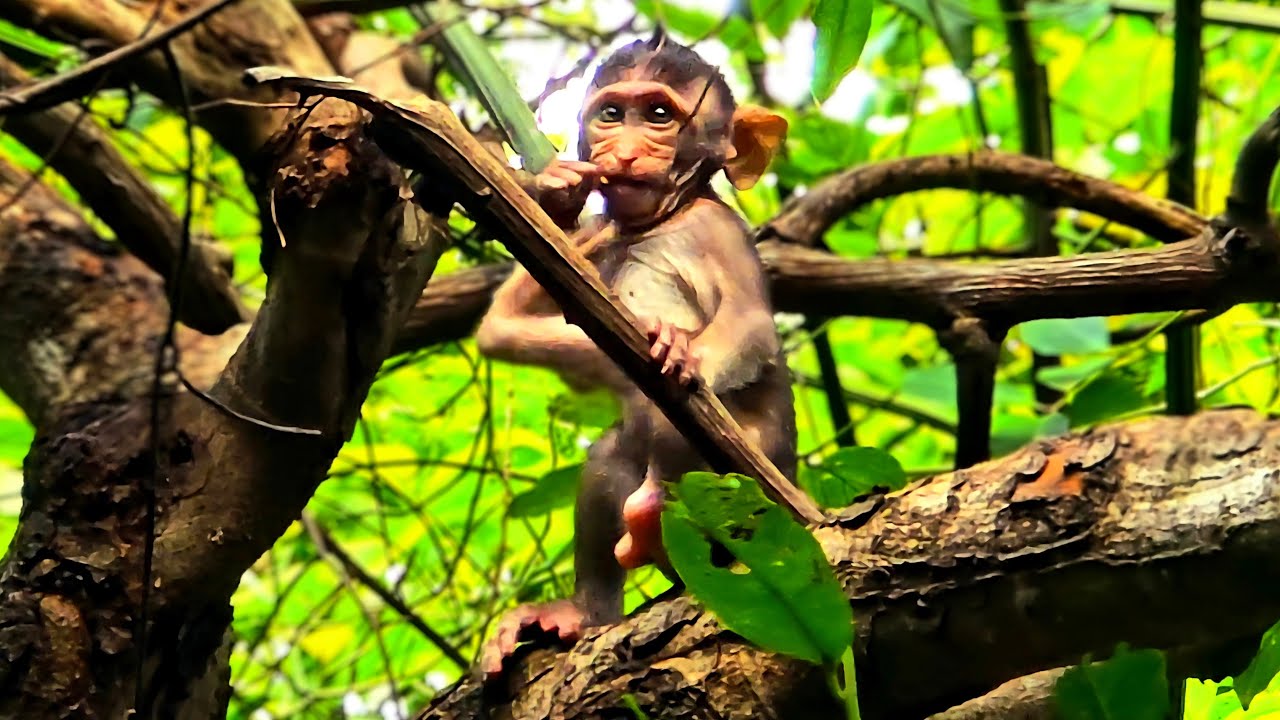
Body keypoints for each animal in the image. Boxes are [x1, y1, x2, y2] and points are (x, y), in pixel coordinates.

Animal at [474, 34, 795, 679]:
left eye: (660, 115)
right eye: (612, 113)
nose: (621, 153)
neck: (660, 221)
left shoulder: (717, 229)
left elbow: (750, 327)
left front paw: (682, 348)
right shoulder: (598, 232)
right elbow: (504, 329)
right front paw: (557, 192)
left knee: (682, 436)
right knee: (613, 454)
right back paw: (585, 609)